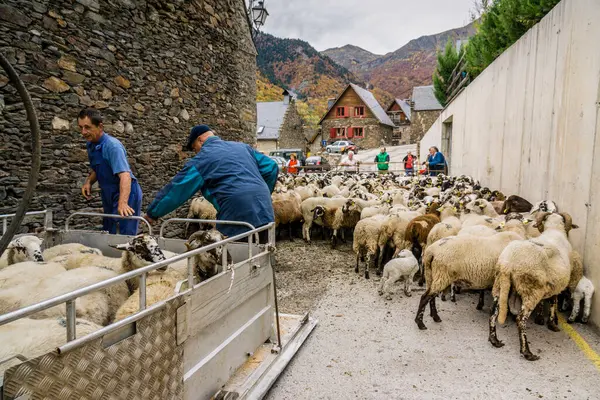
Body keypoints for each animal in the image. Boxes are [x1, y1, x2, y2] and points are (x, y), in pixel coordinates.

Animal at [488, 211, 580, 360]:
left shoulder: (548, 285)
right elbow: (553, 302)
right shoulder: (557, 285)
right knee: (521, 319)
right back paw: (527, 352)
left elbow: (545, 302)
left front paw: (541, 318)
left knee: (493, 312)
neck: (554, 230)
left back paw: (494, 340)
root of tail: (508, 262)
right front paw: (552, 324)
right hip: (531, 290)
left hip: (499, 285)